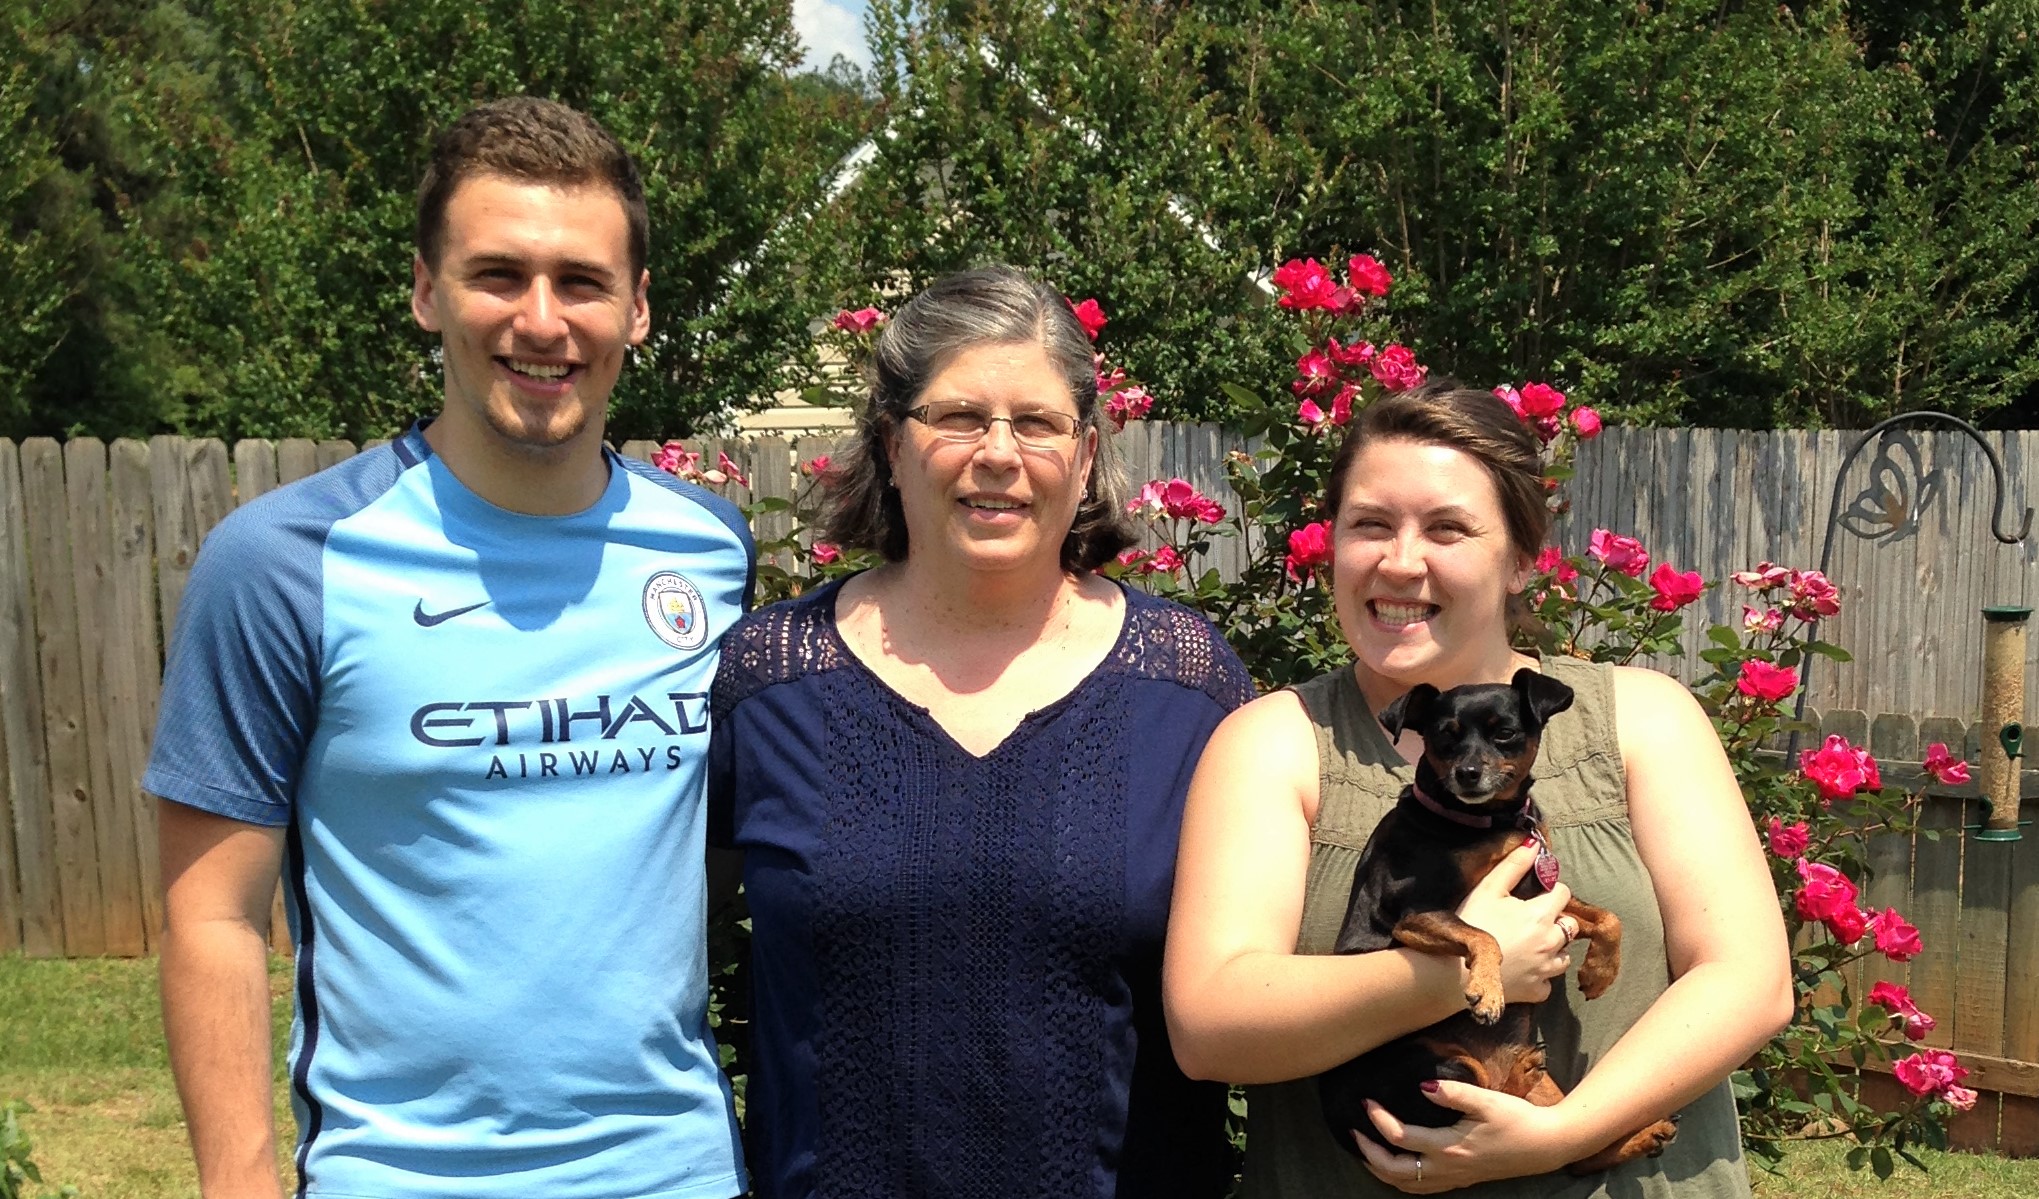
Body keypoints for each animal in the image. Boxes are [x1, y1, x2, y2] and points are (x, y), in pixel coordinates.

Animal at [1317, 668, 1680, 1175]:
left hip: (1534, 1098)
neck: (1487, 821)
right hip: (1436, 1072)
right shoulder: (1413, 914)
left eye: (1504, 733)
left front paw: (1600, 973)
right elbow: (1485, 933)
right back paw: (1522, 1072)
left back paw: (1643, 1135)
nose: (1467, 774)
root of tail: (1340, 1120)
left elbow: (1609, 918)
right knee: (1486, 1105)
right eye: (1443, 737)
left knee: (1565, 1149)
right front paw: (1487, 990)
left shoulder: (1543, 894)